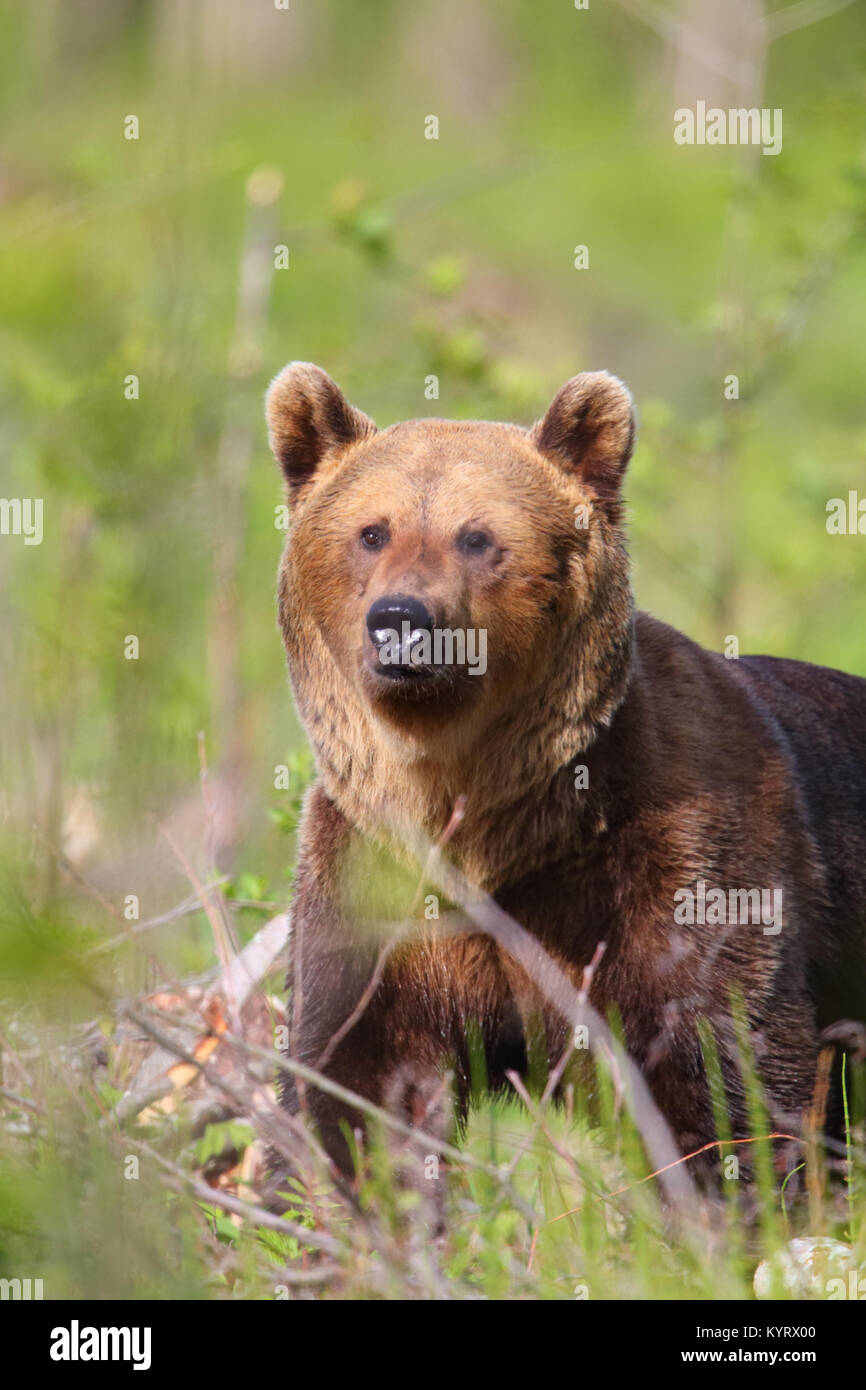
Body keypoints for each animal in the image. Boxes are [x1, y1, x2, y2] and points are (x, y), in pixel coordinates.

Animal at [264, 364, 866, 1178]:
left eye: (477, 535)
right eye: (372, 531)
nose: (403, 619)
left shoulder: (672, 857)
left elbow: (718, 1065)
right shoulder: (374, 876)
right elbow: (355, 1082)